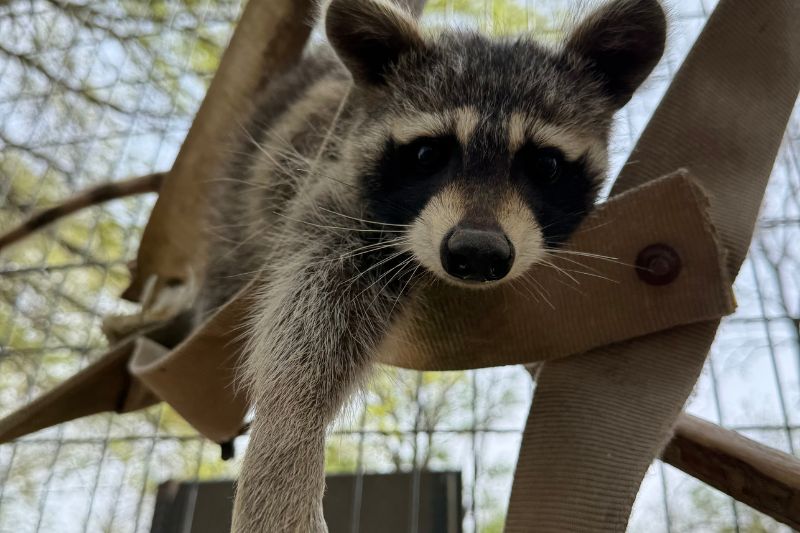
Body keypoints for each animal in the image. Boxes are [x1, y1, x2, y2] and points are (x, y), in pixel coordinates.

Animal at [204, 0, 667, 530]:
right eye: (428, 153)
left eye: (545, 165)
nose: (478, 253)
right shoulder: (337, 191)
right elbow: (310, 305)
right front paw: (288, 425)